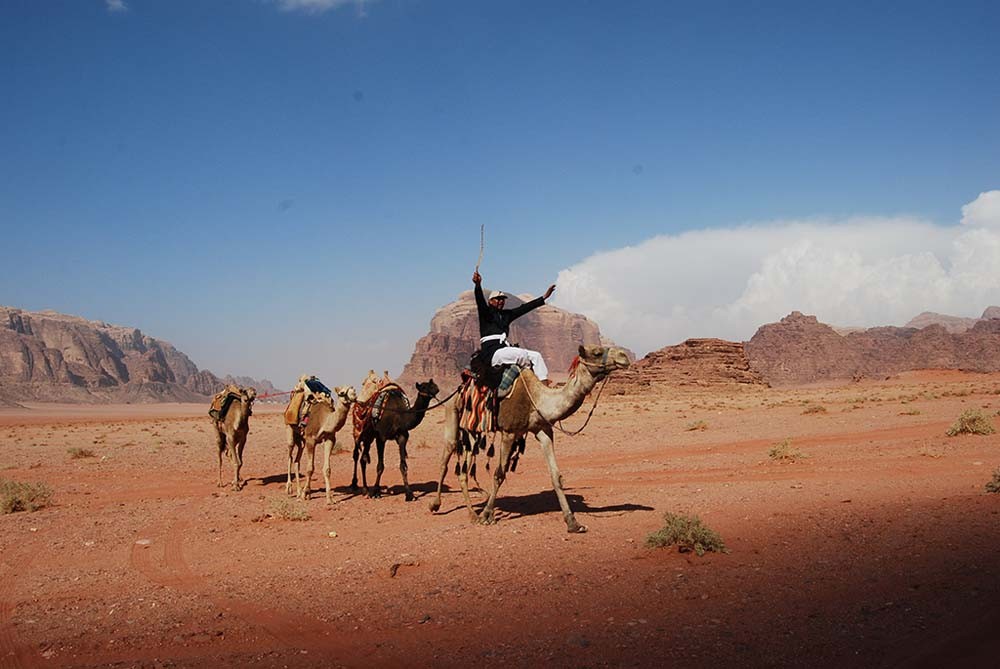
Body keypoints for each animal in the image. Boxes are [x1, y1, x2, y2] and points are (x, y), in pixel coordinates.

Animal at [426, 344, 628, 532]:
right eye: (596, 352)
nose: (624, 356)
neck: (537, 400)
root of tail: (462, 384)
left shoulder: (543, 430)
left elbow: (556, 476)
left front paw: (573, 523)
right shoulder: (509, 432)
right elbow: (499, 474)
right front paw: (486, 515)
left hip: (473, 430)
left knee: (463, 471)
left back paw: (472, 513)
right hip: (452, 413)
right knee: (446, 459)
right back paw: (439, 505)